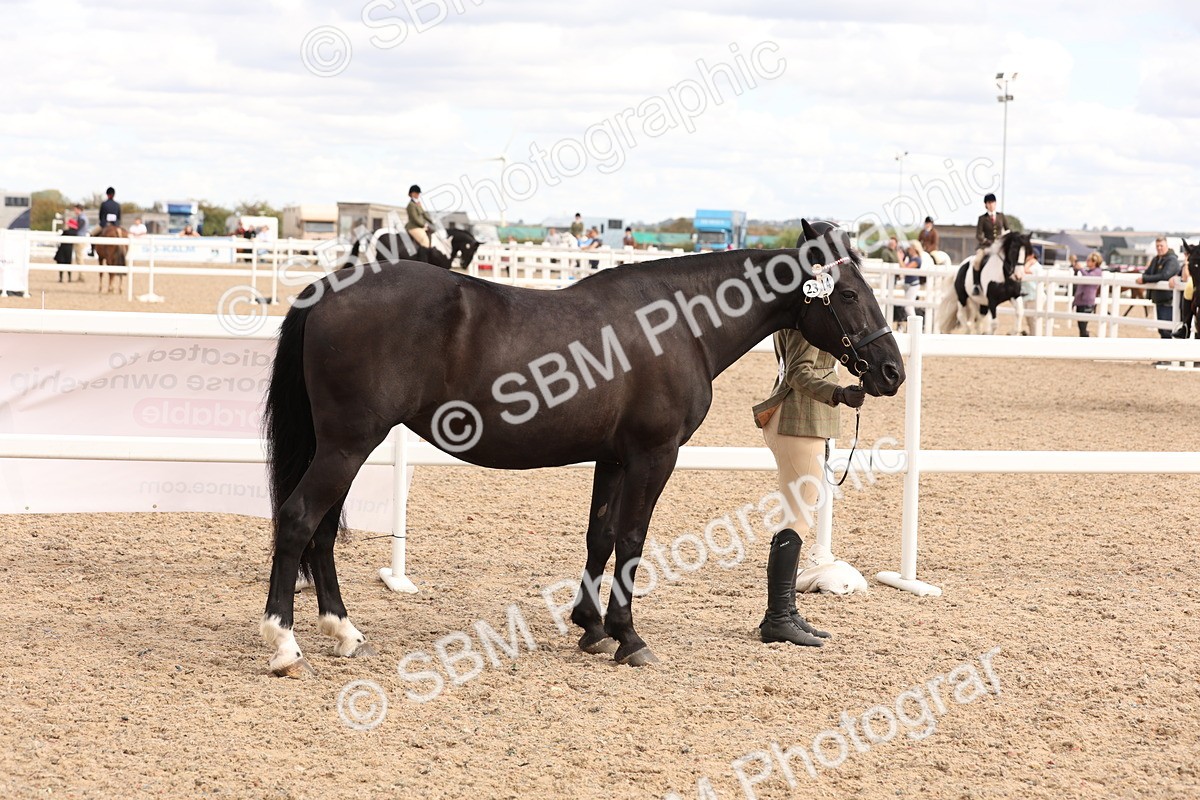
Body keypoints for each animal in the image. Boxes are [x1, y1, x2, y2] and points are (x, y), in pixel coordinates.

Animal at [259, 219, 905, 677]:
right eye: (849, 294)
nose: (891, 371)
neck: (676, 324)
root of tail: (328, 290)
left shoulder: (613, 457)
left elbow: (600, 534)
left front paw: (591, 627)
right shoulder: (653, 455)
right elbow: (632, 538)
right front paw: (628, 636)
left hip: (340, 447)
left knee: (320, 531)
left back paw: (343, 633)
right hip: (347, 445)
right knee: (299, 520)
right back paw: (284, 644)